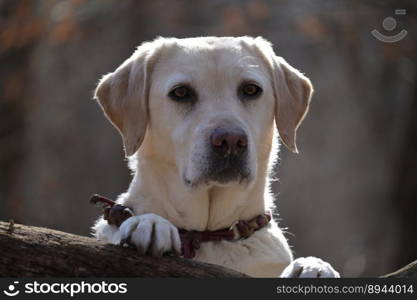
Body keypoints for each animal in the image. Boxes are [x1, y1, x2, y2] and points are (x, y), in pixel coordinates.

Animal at [91, 36, 338, 278]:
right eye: (180, 92)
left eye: (251, 89)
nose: (231, 141)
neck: (206, 236)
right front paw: (149, 222)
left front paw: (313, 267)